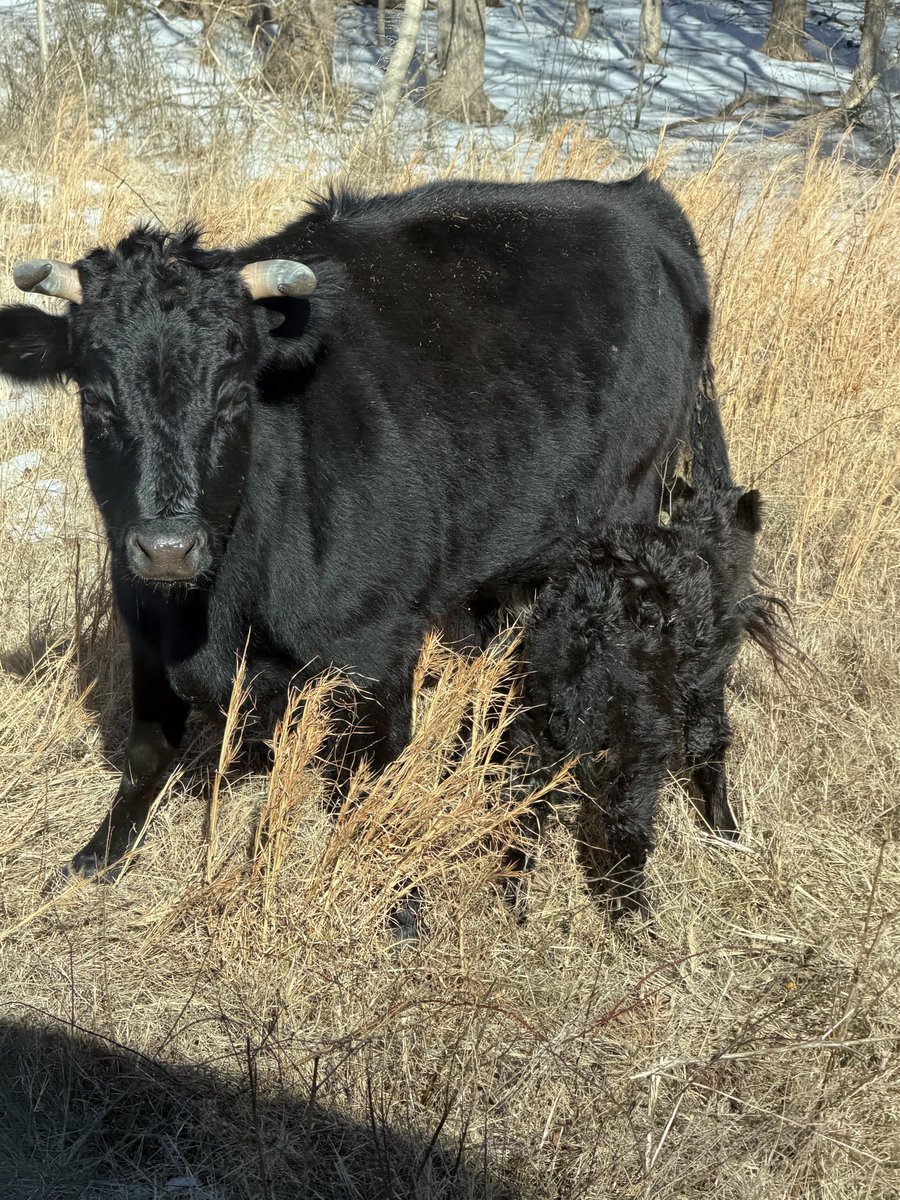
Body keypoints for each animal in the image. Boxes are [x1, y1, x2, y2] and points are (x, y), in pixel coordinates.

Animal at [0, 175, 731, 881]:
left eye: (234, 395)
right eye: (96, 400)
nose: (168, 549)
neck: (218, 610)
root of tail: (638, 197)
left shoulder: (378, 644)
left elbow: (370, 786)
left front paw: (396, 898)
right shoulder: (146, 623)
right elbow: (147, 749)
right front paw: (96, 858)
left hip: (624, 516)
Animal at [509, 482, 786, 918]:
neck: (705, 541)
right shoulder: (707, 675)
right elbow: (709, 744)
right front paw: (726, 832)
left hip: (533, 718)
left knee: (524, 801)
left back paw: (515, 899)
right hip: (643, 730)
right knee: (626, 819)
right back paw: (638, 915)